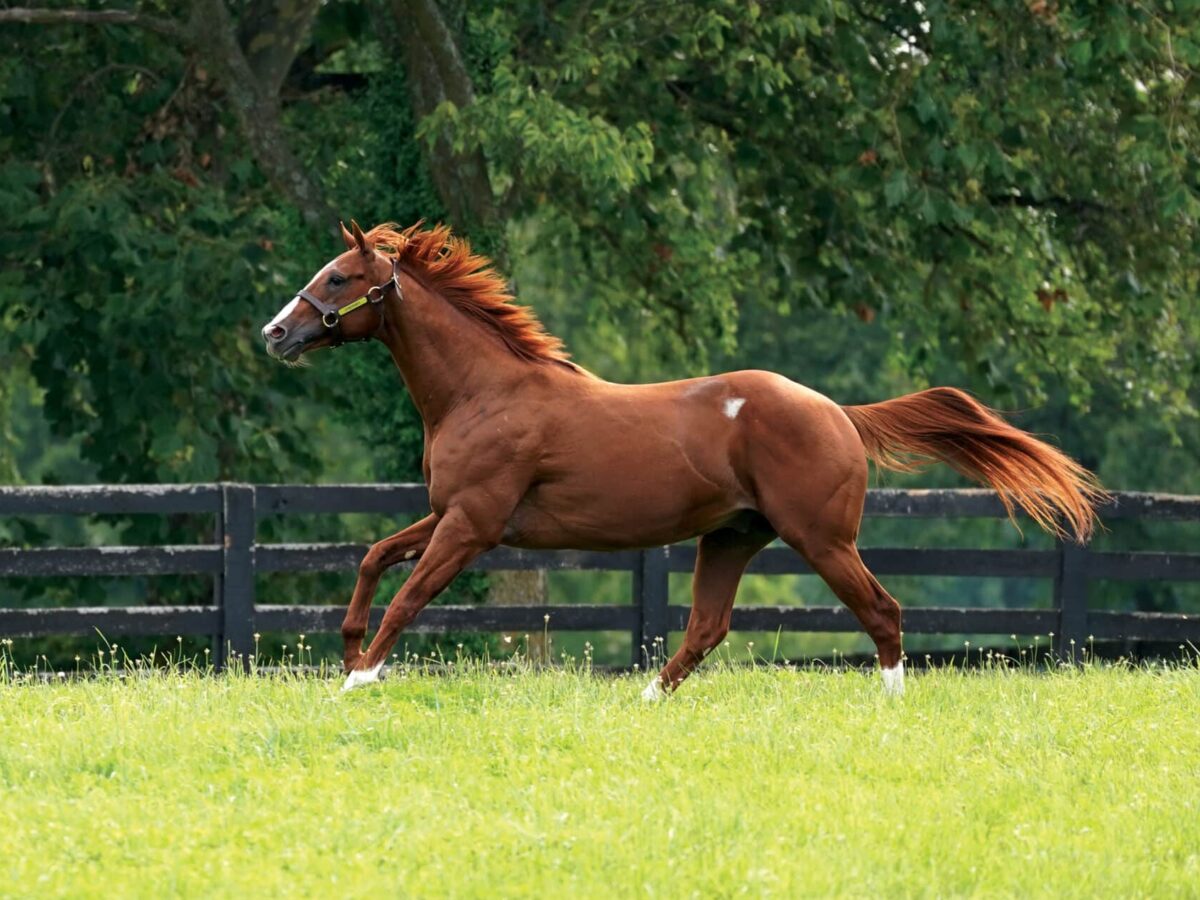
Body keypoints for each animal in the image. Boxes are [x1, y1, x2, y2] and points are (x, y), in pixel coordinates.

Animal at [262, 222, 1104, 700]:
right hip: (730, 537)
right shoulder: (449, 513)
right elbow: (374, 558)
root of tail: (839, 412)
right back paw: (643, 701)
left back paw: (890, 705)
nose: (274, 333)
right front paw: (346, 653)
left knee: (882, 610)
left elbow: (410, 596)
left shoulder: (472, 524)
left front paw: (358, 680)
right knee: (706, 628)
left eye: (339, 277)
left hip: (821, 539)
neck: (485, 390)